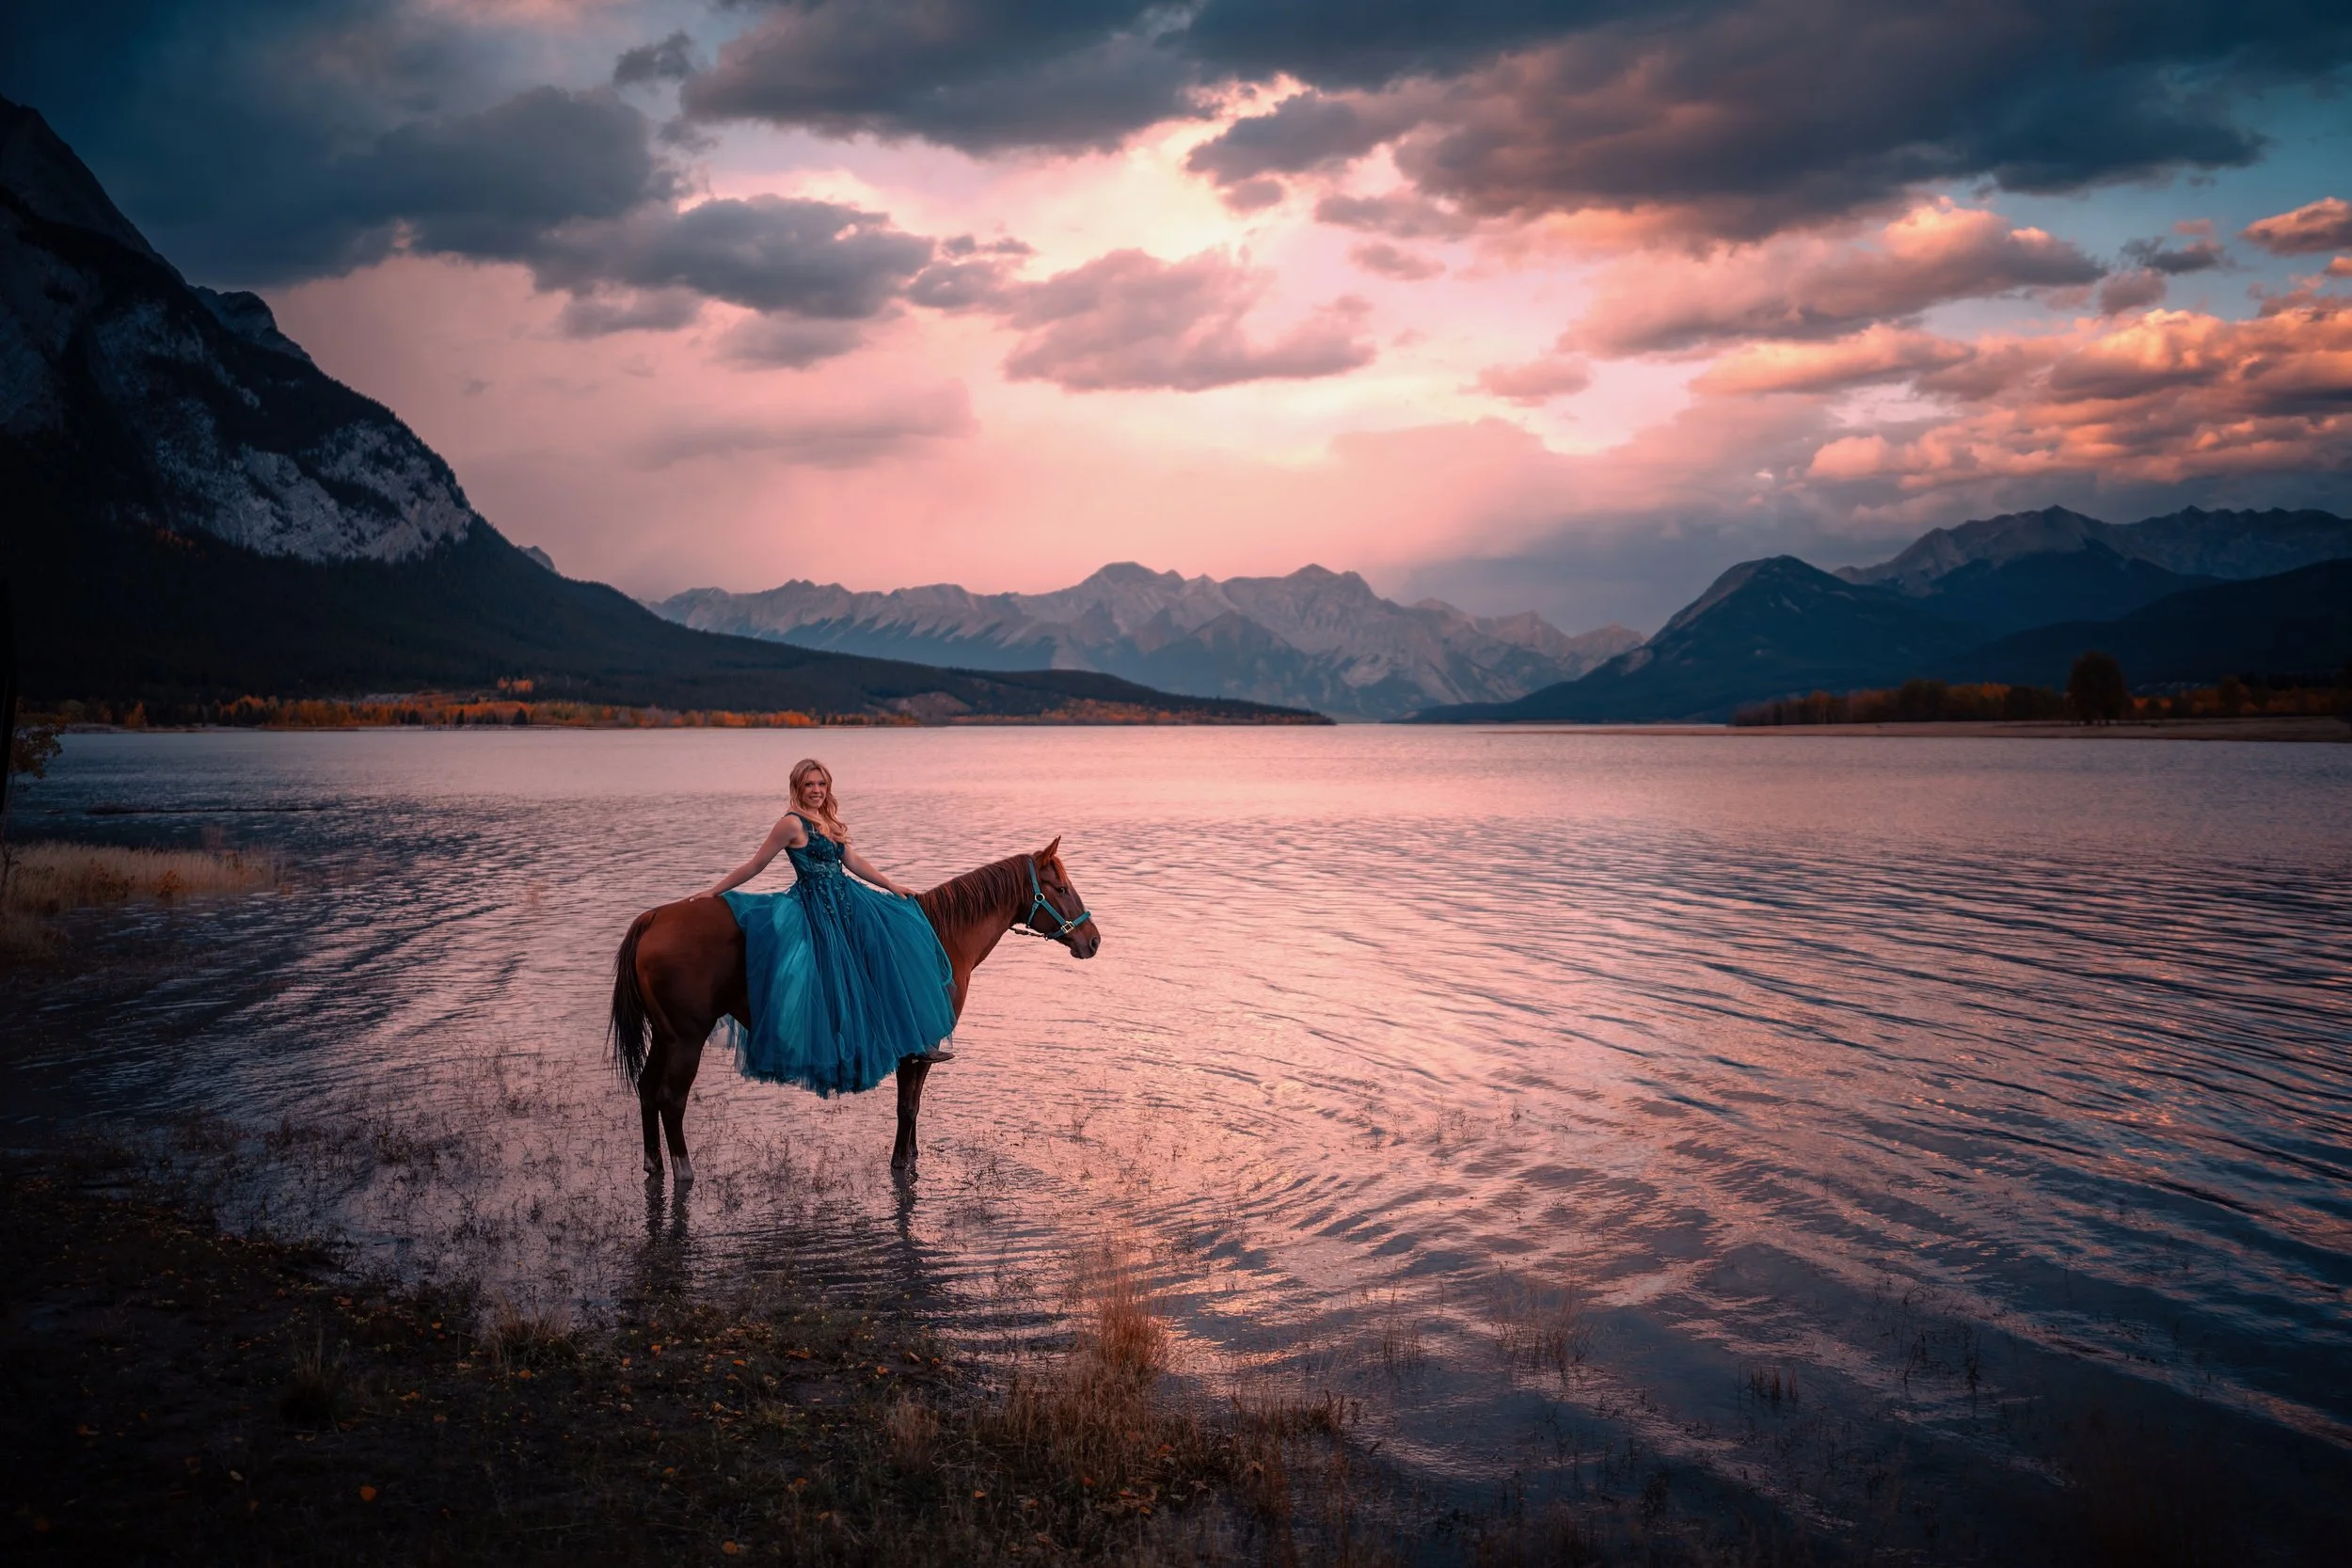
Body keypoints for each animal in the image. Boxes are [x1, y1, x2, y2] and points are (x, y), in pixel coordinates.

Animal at [607, 837, 1100, 1180]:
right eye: (1059, 887)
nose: (1093, 940)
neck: (942, 936)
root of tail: (654, 918)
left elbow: (912, 1104)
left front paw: (911, 1155)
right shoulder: (919, 1045)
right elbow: (907, 1107)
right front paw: (901, 1161)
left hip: (666, 1037)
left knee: (647, 1090)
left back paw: (653, 1163)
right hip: (687, 1039)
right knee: (671, 1099)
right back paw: (684, 1170)